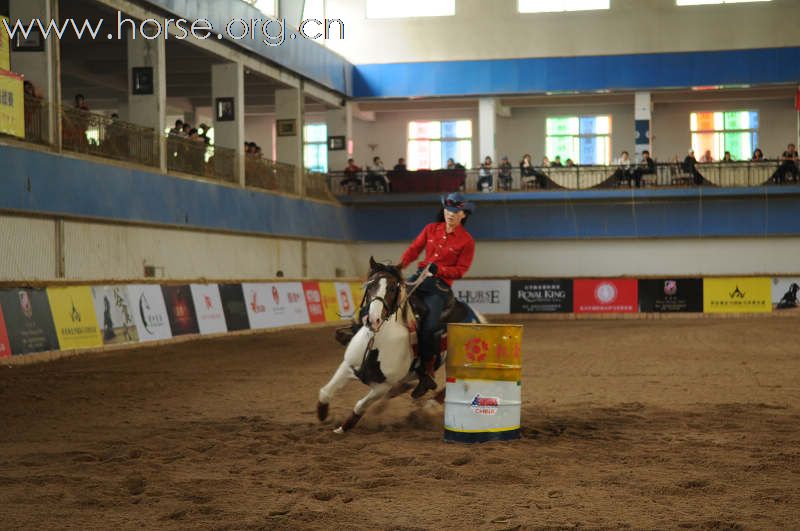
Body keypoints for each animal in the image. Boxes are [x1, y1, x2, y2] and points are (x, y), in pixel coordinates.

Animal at [316, 258, 484, 436]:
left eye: (391, 288)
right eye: (370, 285)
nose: (373, 319)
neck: (377, 342)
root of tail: (477, 317)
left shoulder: (382, 386)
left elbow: (360, 404)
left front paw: (343, 427)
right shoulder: (348, 365)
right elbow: (325, 391)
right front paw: (322, 414)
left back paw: (429, 406)